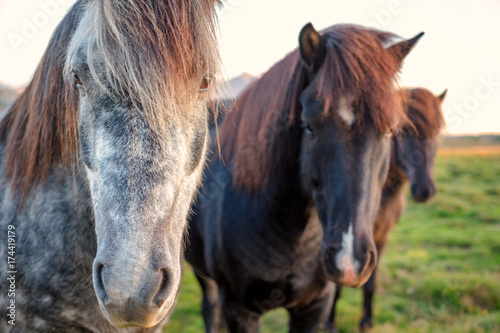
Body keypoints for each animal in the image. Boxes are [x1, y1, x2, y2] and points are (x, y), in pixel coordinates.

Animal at [326, 86, 448, 330]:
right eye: (402, 131)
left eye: (438, 131)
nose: (424, 190)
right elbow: (334, 283)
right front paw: (330, 321)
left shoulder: (380, 239)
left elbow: (370, 284)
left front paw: (366, 321)